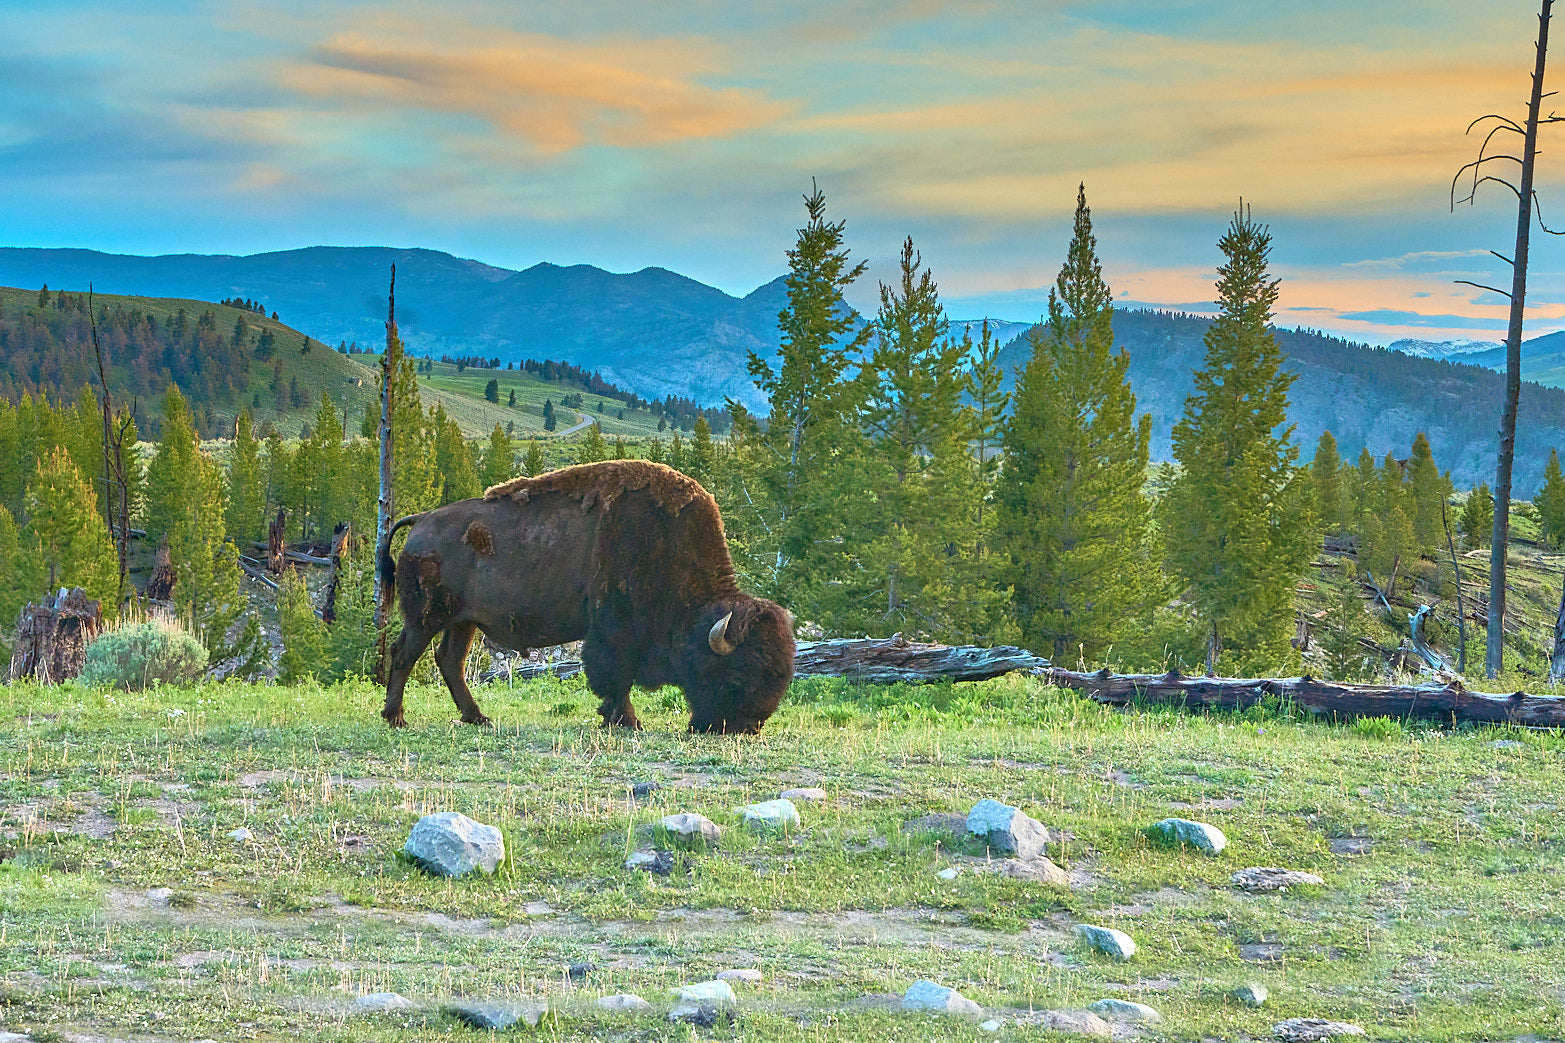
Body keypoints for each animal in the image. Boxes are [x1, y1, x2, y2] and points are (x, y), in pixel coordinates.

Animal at [375, 460, 795, 733]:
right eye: (738, 672)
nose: (747, 726)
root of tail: (421, 520)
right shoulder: (614, 631)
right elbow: (615, 675)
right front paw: (628, 720)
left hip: (464, 621)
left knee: (450, 660)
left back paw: (478, 718)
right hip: (426, 616)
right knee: (404, 653)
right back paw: (396, 718)